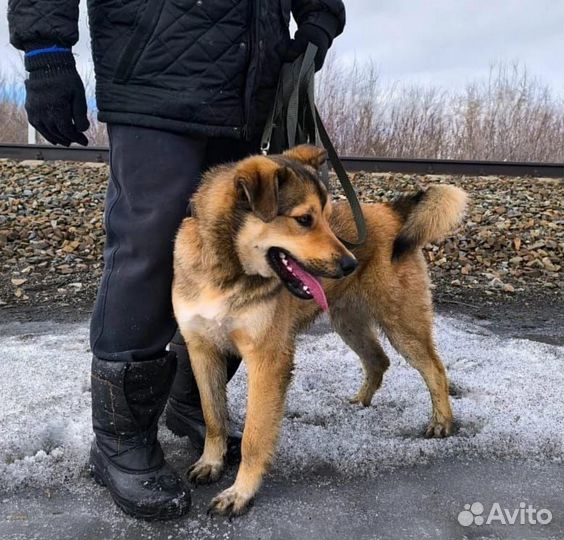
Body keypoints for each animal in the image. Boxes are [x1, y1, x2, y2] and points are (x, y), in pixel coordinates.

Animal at [172, 146, 468, 516]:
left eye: (327, 217)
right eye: (304, 219)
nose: (350, 264)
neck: (226, 270)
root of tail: (391, 212)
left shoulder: (268, 361)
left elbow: (255, 436)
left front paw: (240, 492)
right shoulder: (202, 351)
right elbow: (213, 417)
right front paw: (211, 462)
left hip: (402, 324)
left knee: (434, 369)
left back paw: (442, 420)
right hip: (348, 323)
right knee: (378, 360)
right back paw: (360, 401)